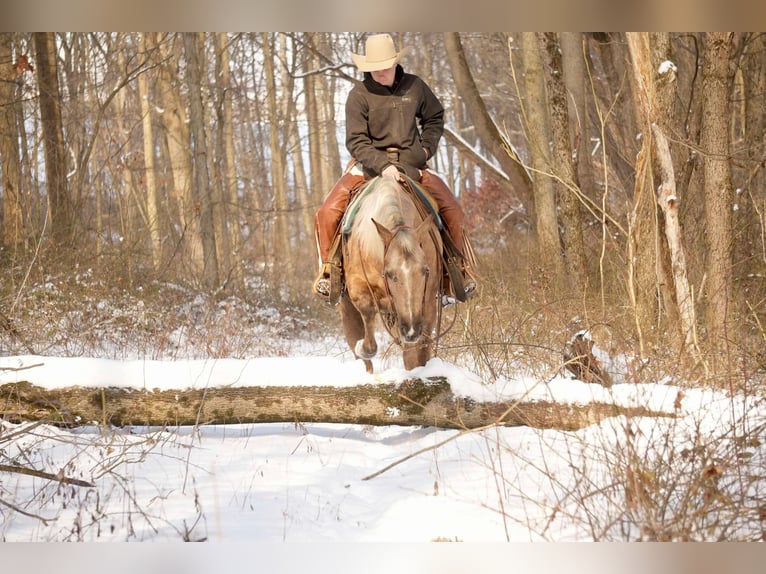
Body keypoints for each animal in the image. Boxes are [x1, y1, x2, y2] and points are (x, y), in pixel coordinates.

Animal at [342, 176, 444, 376]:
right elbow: (368, 337)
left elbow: (417, 353)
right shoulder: (357, 288)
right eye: (390, 274)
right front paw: (361, 347)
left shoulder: (426, 303)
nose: (411, 330)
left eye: (425, 271)